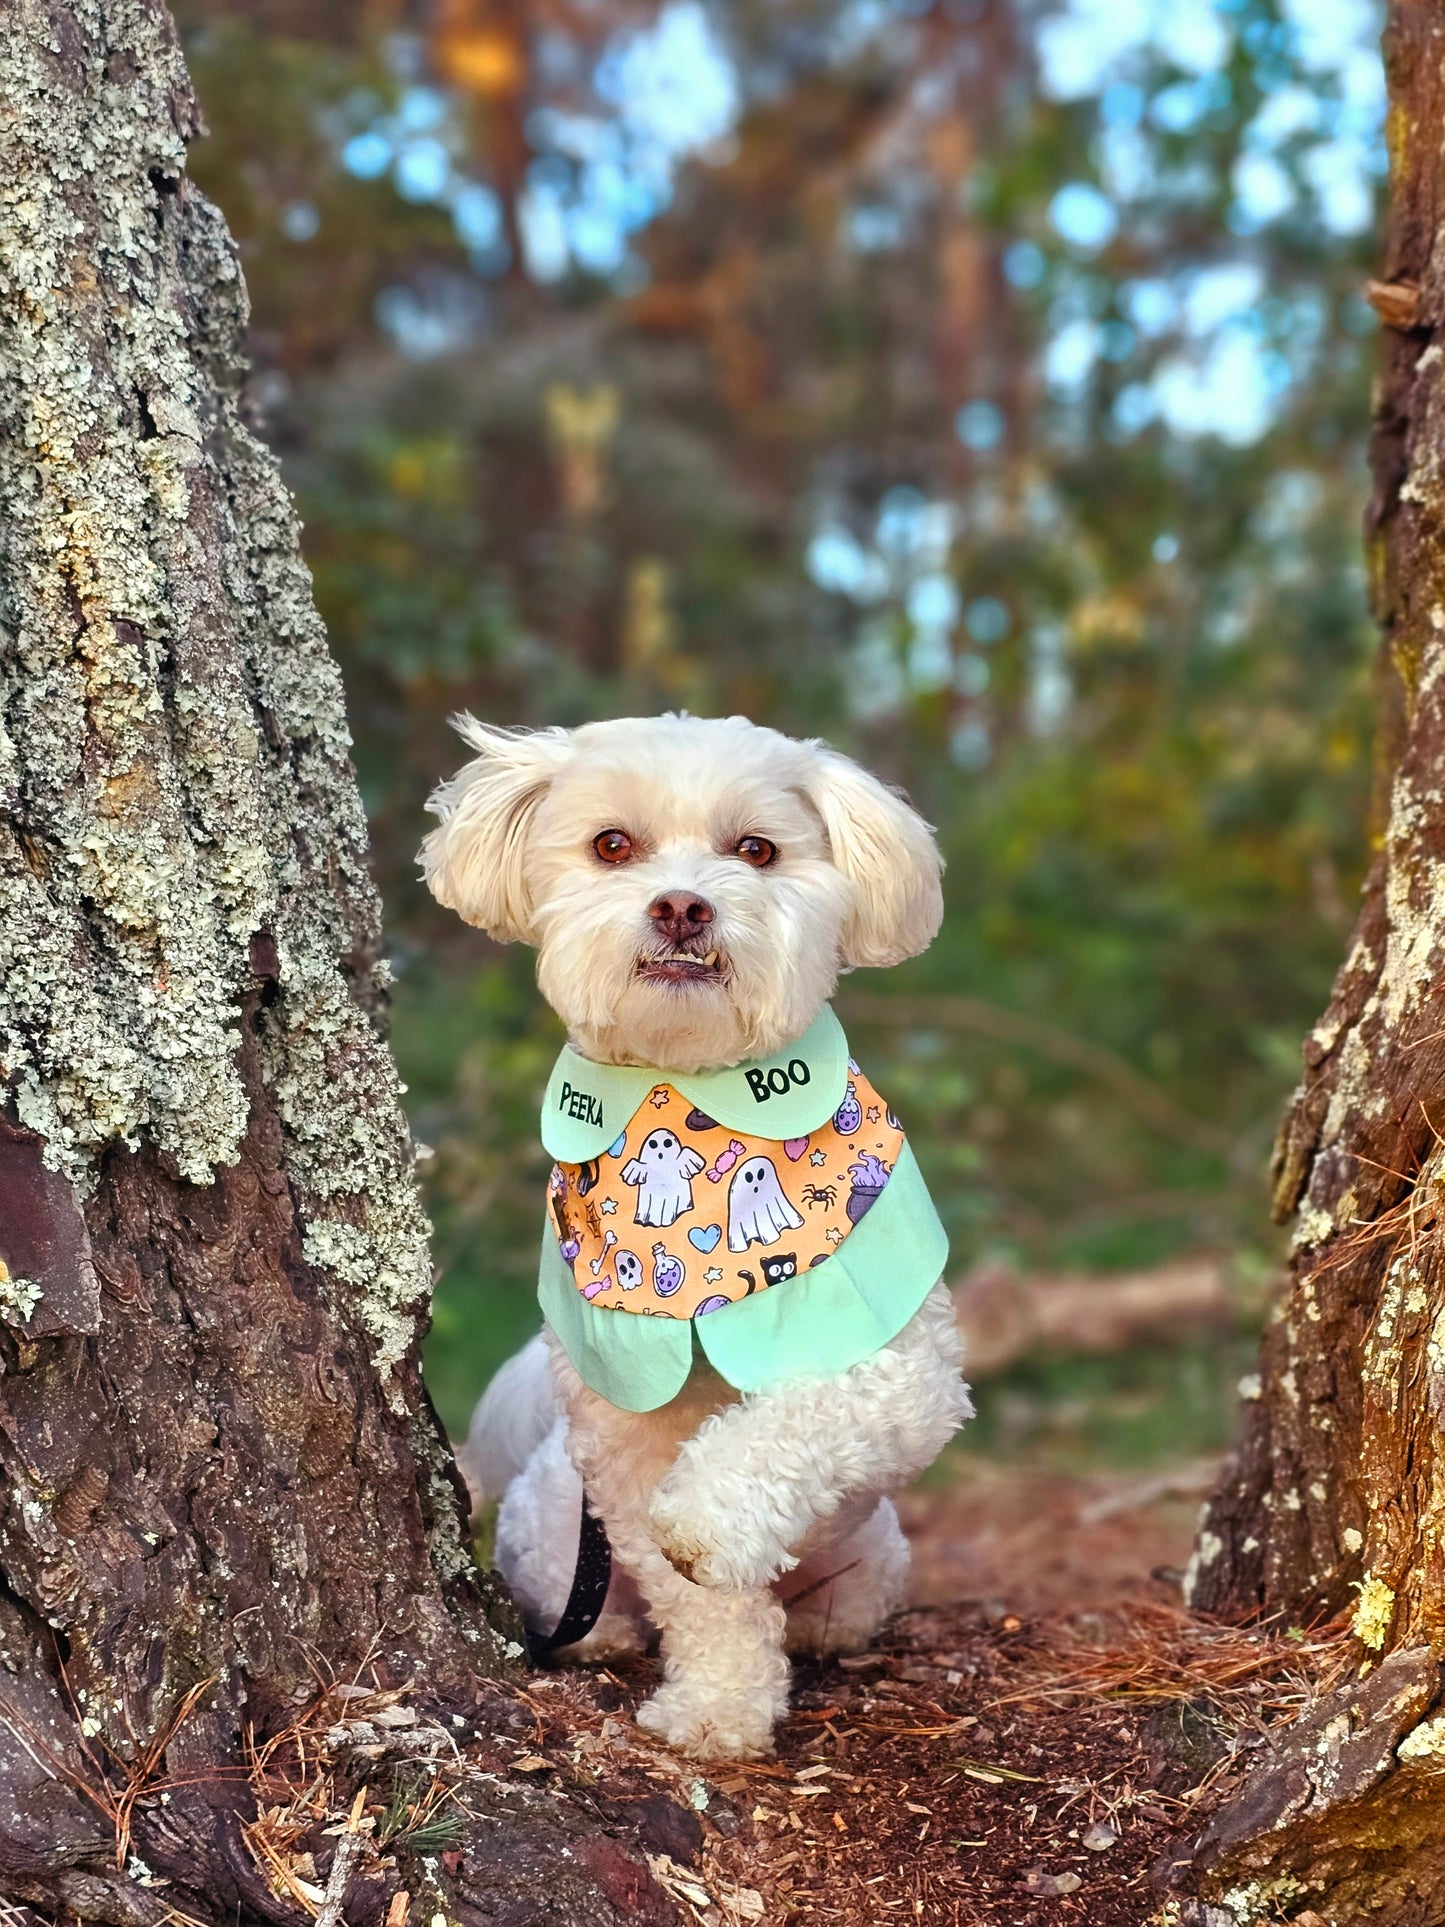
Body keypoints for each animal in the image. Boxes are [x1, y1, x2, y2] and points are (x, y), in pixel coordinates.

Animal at [423, 712, 978, 1765]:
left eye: (754, 849)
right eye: (612, 844)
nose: (681, 905)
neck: (683, 1096)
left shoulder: (905, 1373)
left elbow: (791, 1420)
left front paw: (709, 1522)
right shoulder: (619, 1433)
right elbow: (696, 1597)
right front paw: (717, 1706)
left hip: (869, 1565)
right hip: (556, 1536)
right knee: (597, 1608)